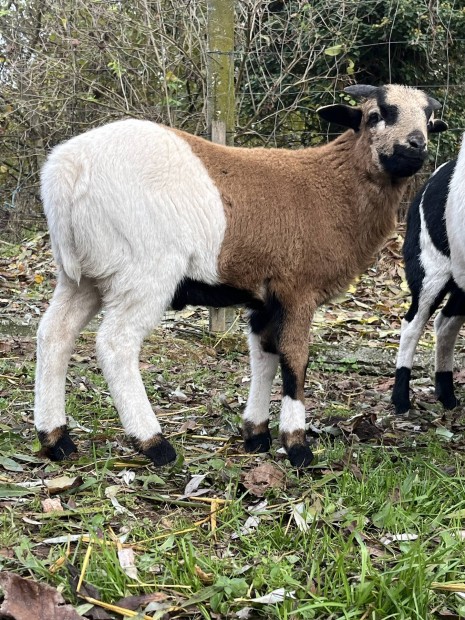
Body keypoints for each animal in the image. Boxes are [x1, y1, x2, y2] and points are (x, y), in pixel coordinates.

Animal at [34, 85, 444, 468]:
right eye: (376, 115)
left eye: (428, 121)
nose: (416, 146)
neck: (332, 188)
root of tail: (68, 170)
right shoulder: (297, 289)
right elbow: (295, 360)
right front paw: (297, 446)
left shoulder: (264, 298)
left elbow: (263, 357)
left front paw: (256, 435)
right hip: (145, 271)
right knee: (115, 344)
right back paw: (154, 443)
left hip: (81, 275)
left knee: (54, 335)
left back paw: (56, 439)